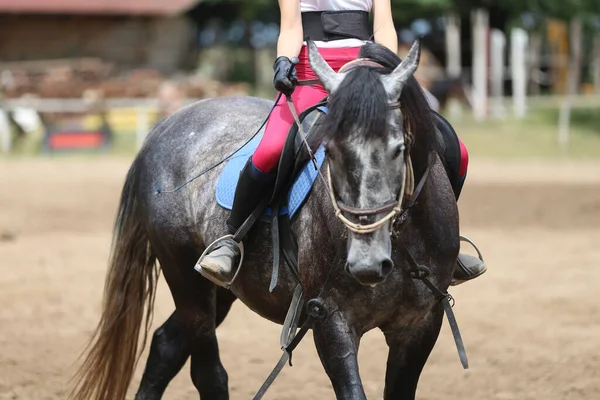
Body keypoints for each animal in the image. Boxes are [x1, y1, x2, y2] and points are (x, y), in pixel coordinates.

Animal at [71, 39, 464, 400]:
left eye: (399, 149)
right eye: (330, 150)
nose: (366, 262)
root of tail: (165, 125)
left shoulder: (421, 324)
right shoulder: (331, 318)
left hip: (222, 291)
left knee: (166, 345)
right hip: (186, 279)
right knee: (207, 373)